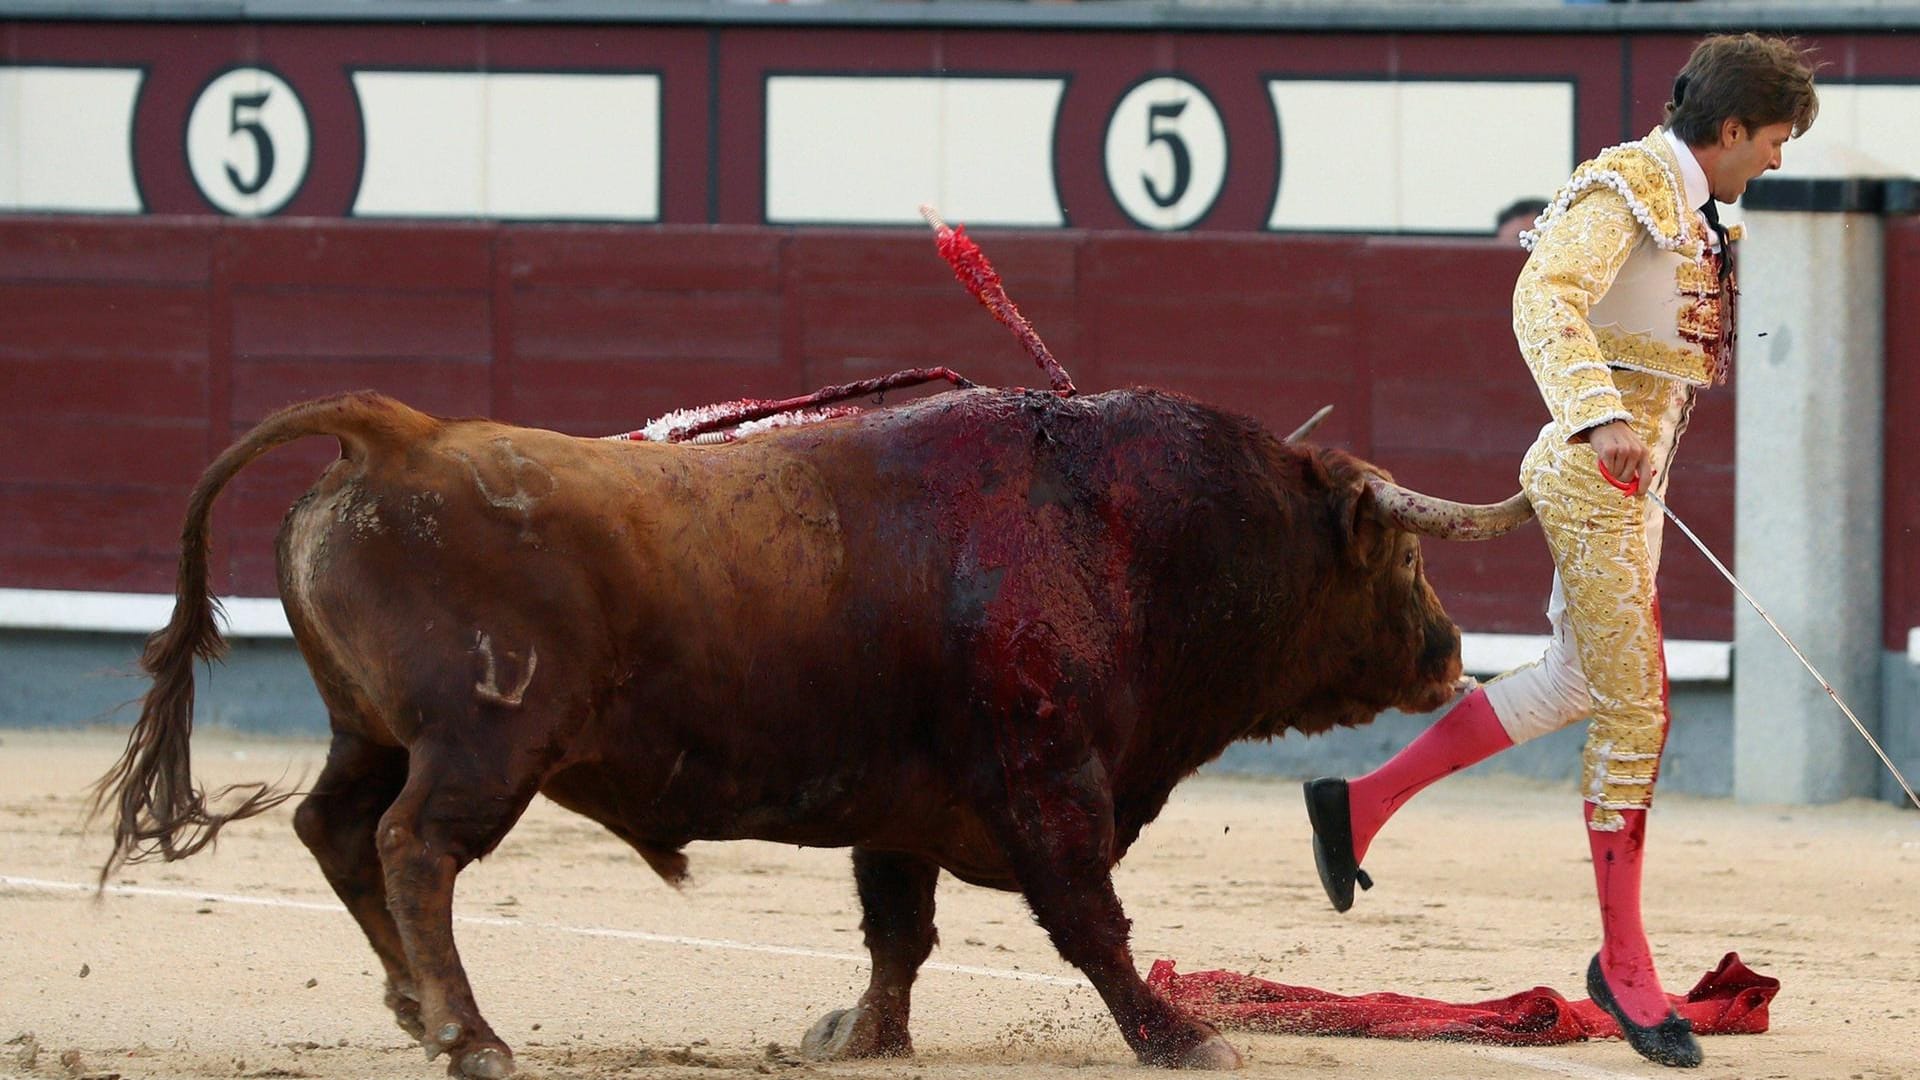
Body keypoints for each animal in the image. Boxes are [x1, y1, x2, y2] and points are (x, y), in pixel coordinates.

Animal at [93, 384, 1528, 1068]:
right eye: (1400, 557)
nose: (1454, 653)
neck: (1127, 530)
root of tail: (395, 438)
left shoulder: (905, 801)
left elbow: (898, 930)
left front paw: (861, 1038)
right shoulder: (1048, 778)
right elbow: (1091, 925)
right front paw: (1183, 1039)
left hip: (370, 732)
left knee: (334, 829)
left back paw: (411, 1003)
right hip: (481, 748)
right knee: (413, 850)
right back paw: (472, 1037)